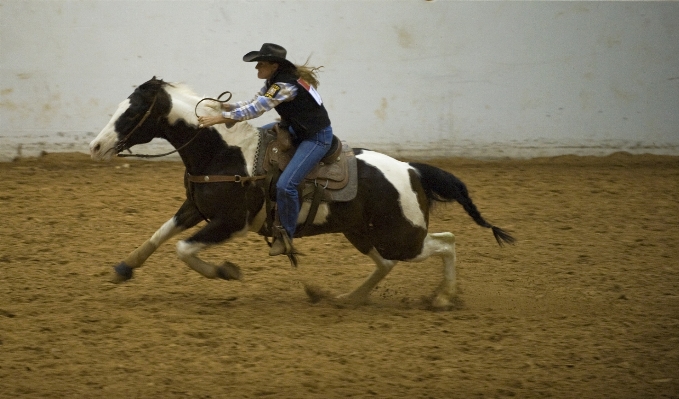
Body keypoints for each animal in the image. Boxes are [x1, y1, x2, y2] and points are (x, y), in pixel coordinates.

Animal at [90, 77, 516, 310]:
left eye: (131, 113)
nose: (95, 146)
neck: (225, 153)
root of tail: (412, 170)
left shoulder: (231, 222)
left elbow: (183, 248)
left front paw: (226, 271)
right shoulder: (195, 208)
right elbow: (159, 235)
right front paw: (124, 268)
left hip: (400, 237)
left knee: (447, 242)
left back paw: (442, 298)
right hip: (363, 233)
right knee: (388, 263)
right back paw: (346, 298)